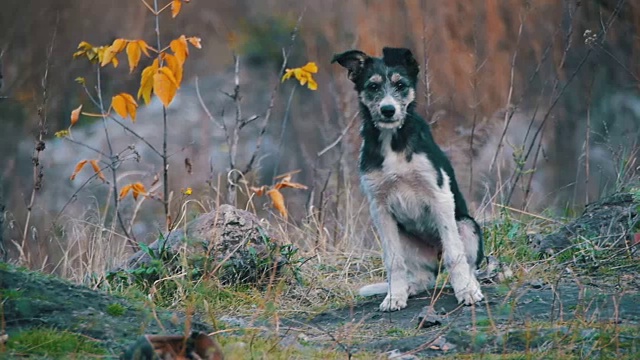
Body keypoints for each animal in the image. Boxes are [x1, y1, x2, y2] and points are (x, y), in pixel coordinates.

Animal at [330, 47, 484, 312]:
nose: (388, 110)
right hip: (407, 239)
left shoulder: (440, 195)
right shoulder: (379, 208)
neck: (393, 141)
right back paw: (408, 288)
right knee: (423, 276)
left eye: (400, 84)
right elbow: (393, 261)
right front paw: (394, 297)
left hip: (467, 225)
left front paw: (466, 292)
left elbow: (456, 255)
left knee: (466, 264)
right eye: (372, 86)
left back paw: (469, 285)